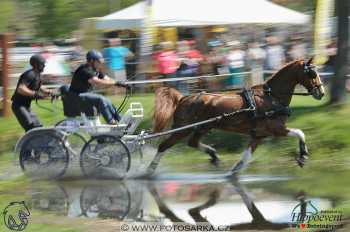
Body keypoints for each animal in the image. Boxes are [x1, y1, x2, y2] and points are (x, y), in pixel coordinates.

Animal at [144, 58, 324, 178]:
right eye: (312, 73)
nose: (321, 93)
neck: (271, 97)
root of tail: (183, 98)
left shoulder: (259, 135)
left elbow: (246, 156)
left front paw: (233, 172)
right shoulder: (276, 129)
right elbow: (300, 132)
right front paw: (303, 156)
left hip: (203, 127)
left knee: (192, 143)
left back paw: (213, 155)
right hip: (183, 129)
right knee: (164, 146)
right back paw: (148, 171)